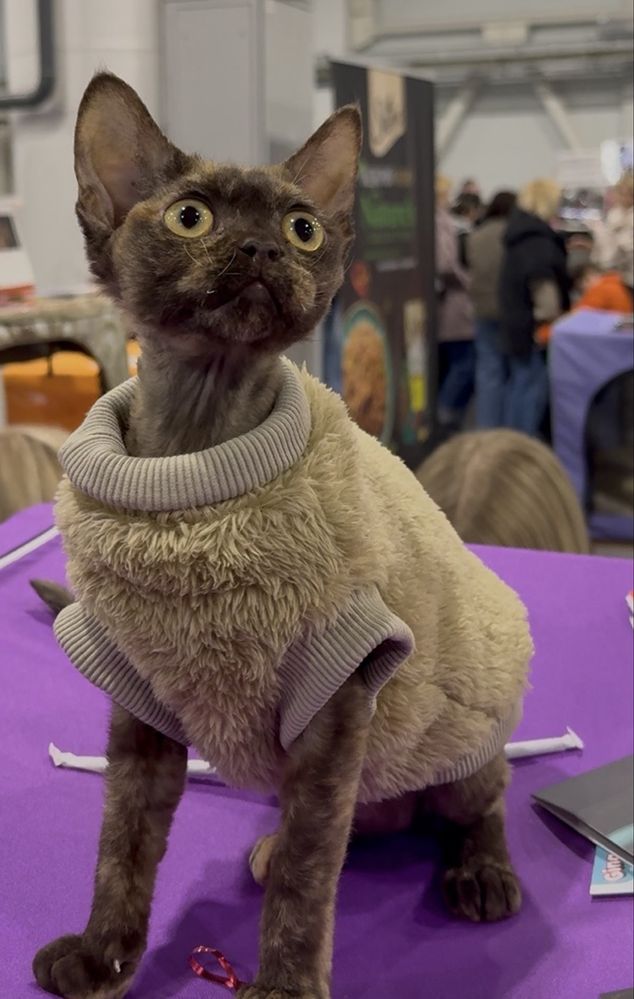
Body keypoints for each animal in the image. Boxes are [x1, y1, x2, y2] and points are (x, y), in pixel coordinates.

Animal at [32, 74, 525, 999]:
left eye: (304, 226)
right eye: (190, 216)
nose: (264, 247)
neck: (199, 453)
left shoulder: (337, 694)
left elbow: (306, 875)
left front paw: (287, 980)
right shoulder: (140, 697)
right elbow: (122, 843)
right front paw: (104, 951)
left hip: (459, 736)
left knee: (479, 797)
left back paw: (481, 870)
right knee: (352, 821)